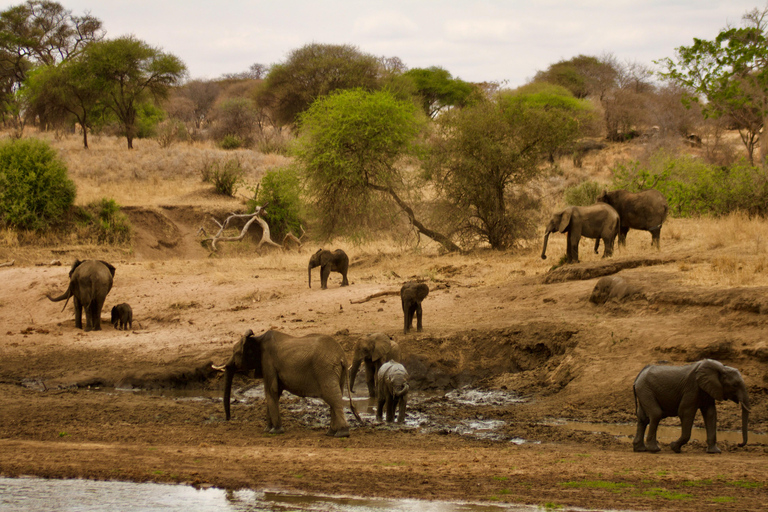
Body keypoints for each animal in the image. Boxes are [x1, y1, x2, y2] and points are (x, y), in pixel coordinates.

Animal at [213, 328, 364, 436]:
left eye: (235, 352)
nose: (228, 419)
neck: (257, 338)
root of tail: (342, 357)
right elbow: (273, 392)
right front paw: (267, 430)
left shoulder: (268, 362)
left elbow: (271, 391)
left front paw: (275, 431)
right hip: (336, 372)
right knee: (335, 396)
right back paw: (331, 433)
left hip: (325, 369)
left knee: (333, 397)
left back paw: (342, 433)